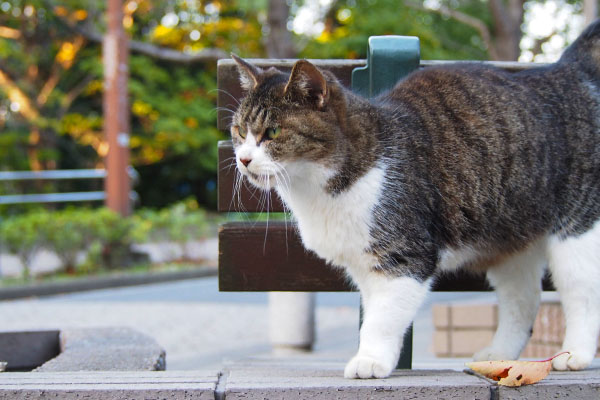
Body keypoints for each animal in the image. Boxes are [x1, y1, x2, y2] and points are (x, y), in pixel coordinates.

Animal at [229, 21, 600, 378]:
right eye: (239, 130)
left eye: (273, 132)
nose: (243, 159)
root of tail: (565, 71)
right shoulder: (363, 264)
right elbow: (377, 314)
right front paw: (383, 359)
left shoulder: (406, 256)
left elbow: (381, 320)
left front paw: (369, 361)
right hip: (510, 238)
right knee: (523, 297)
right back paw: (499, 356)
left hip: (577, 230)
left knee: (581, 293)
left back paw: (575, 355)